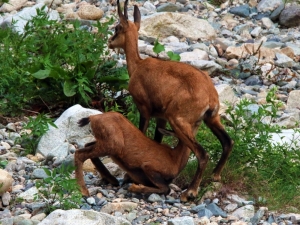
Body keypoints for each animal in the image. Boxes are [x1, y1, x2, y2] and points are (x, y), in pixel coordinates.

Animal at [108, 0, 234, 200]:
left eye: (117, 27)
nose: (110, 42)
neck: (138, 66)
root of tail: (211, 97)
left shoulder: (144, 109)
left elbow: (142, 133)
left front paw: (129, 177)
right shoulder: (161, 117)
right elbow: (157, 140)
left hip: (179, 121)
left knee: (202, 154)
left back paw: (190, 192)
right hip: (210, 119)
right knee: (228, 142)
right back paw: (215, 176)